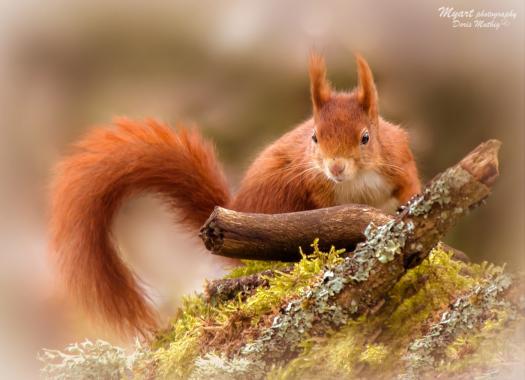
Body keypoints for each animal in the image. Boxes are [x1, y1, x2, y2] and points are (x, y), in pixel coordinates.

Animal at [50, 54, 422, 336]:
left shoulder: (400, 159)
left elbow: (410, 187)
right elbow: (325, 214)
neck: (357, 179)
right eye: (315, 137)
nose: (336, 168)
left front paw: (411, 205)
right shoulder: (315, 187)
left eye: (365, 138)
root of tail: (237, 207)